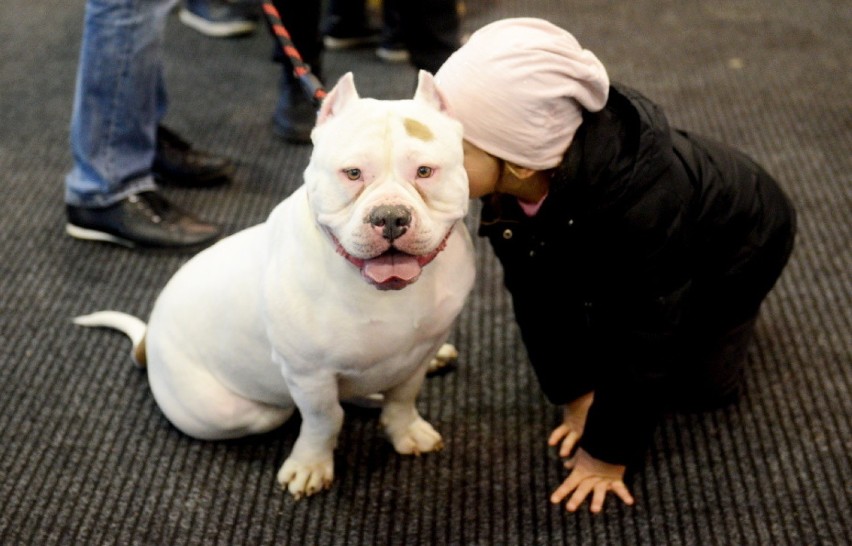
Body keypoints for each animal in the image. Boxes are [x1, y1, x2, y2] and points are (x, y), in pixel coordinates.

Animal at [75, 72, 476, 498]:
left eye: (425, 171)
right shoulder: (309, 376)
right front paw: (311, 465)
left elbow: (403, 397)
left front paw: (406, 431)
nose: (390, 217)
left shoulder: (419, 352)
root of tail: (147, 340)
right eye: (352, 173)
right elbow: (325, 419)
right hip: (235, 411)